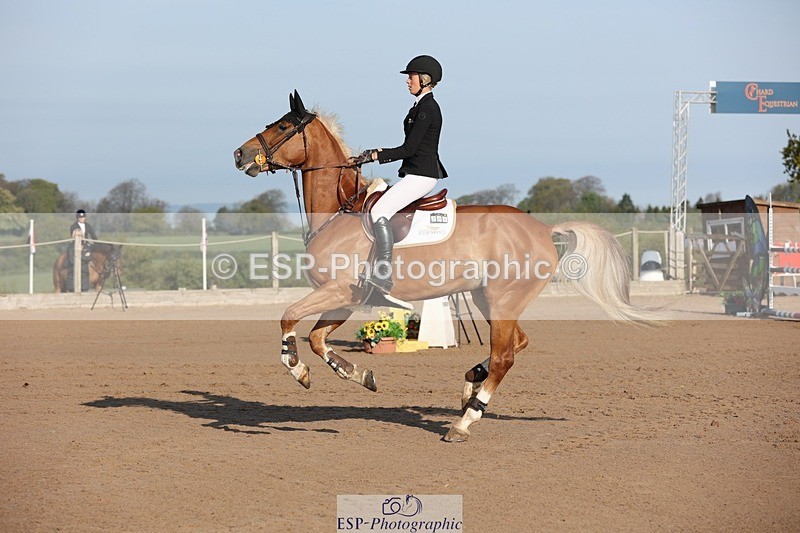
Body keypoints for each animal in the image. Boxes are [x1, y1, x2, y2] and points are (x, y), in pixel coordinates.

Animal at [233, 90, 658, 442]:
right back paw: (471, 385)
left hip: (502, 300)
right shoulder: (346, 299)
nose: (239, 154)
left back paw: (465, 422)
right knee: (516, 344)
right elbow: (319, 339)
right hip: (488, 299)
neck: (341, 210)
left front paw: (296, 368)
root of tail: (543, 228)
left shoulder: (337, 291)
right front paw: (360, 375)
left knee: (505, 355)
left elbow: (289, 318)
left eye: (283, 126)